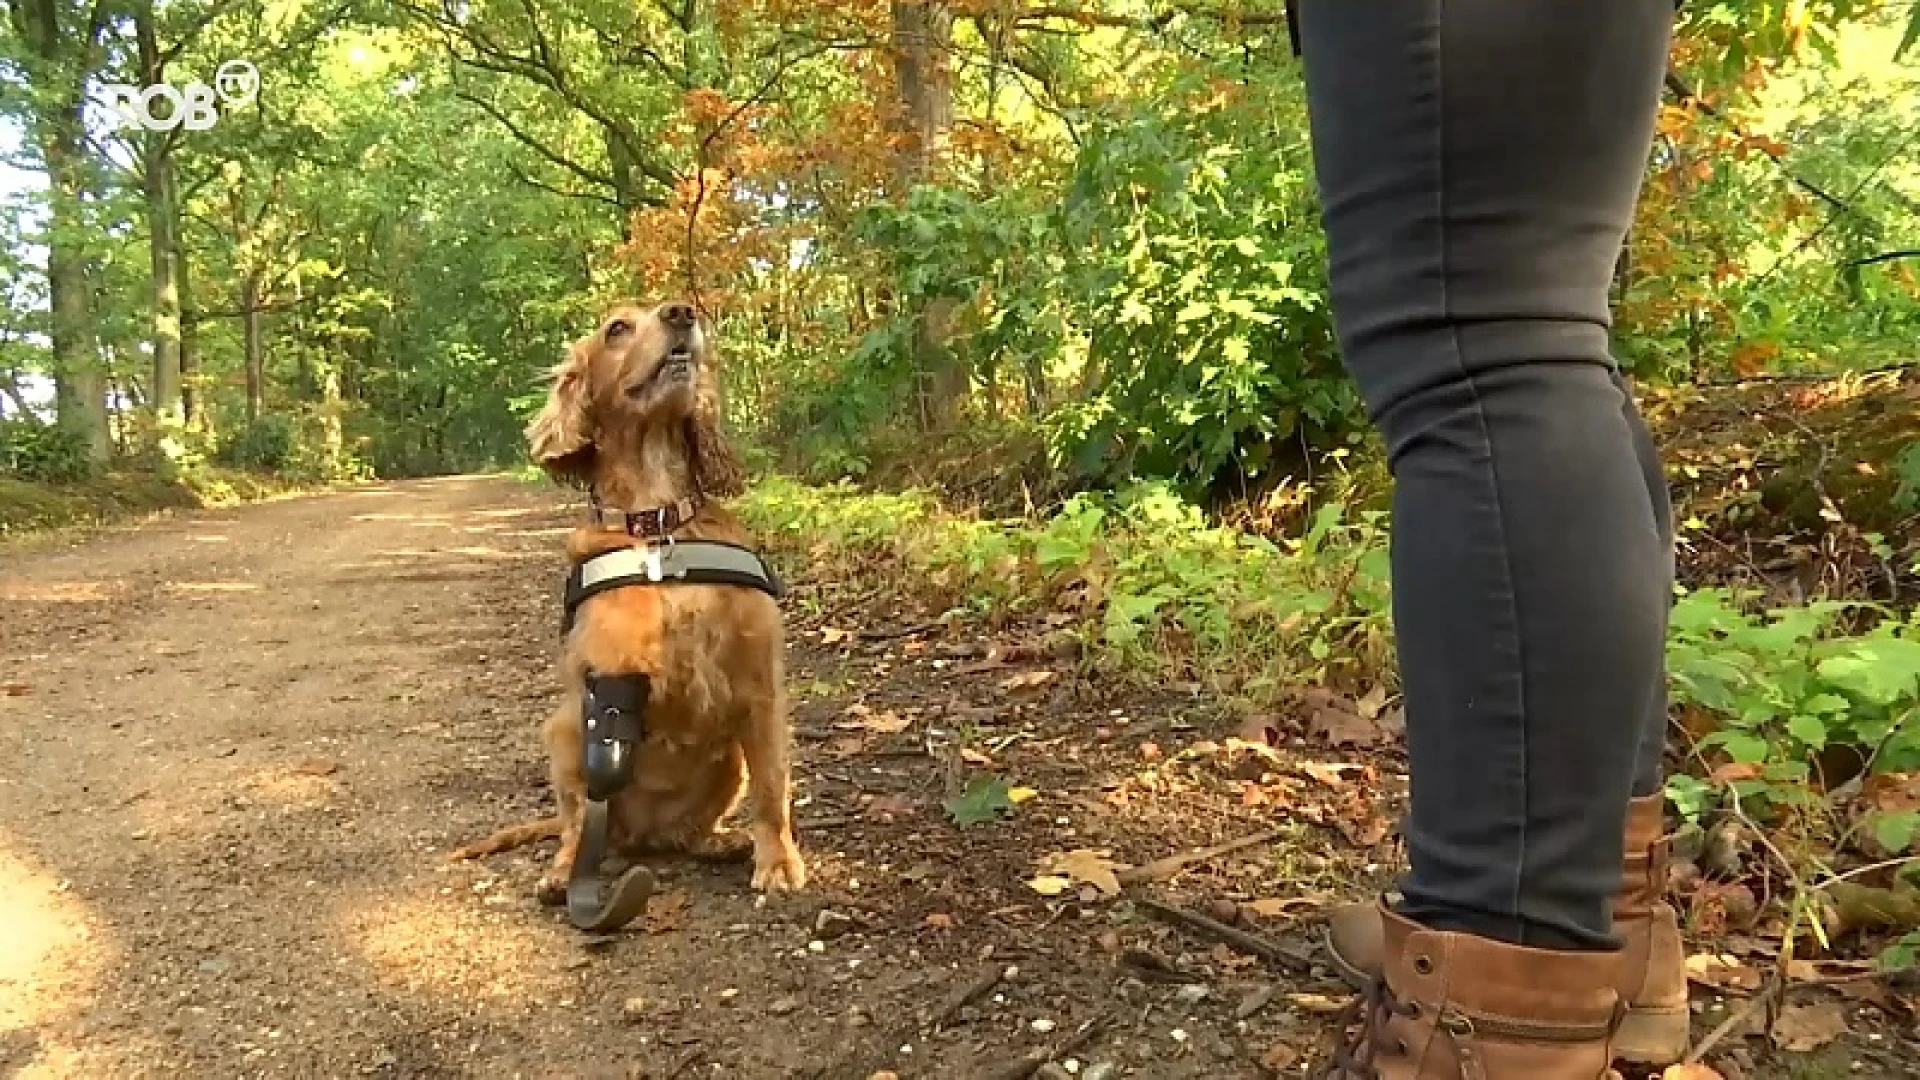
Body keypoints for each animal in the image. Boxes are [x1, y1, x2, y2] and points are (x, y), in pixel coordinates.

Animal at [453, 297, 806, 895]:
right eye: (616, 328)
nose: (683, 313)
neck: (658, 526)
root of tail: (644, 835)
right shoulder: (611, 675)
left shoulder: (760, 682)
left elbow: (771, 784)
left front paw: (777, 860)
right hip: (563, 729)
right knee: (577, 823)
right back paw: (565, 869)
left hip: (724, 764)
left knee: (688, 833)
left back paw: (719, 841)